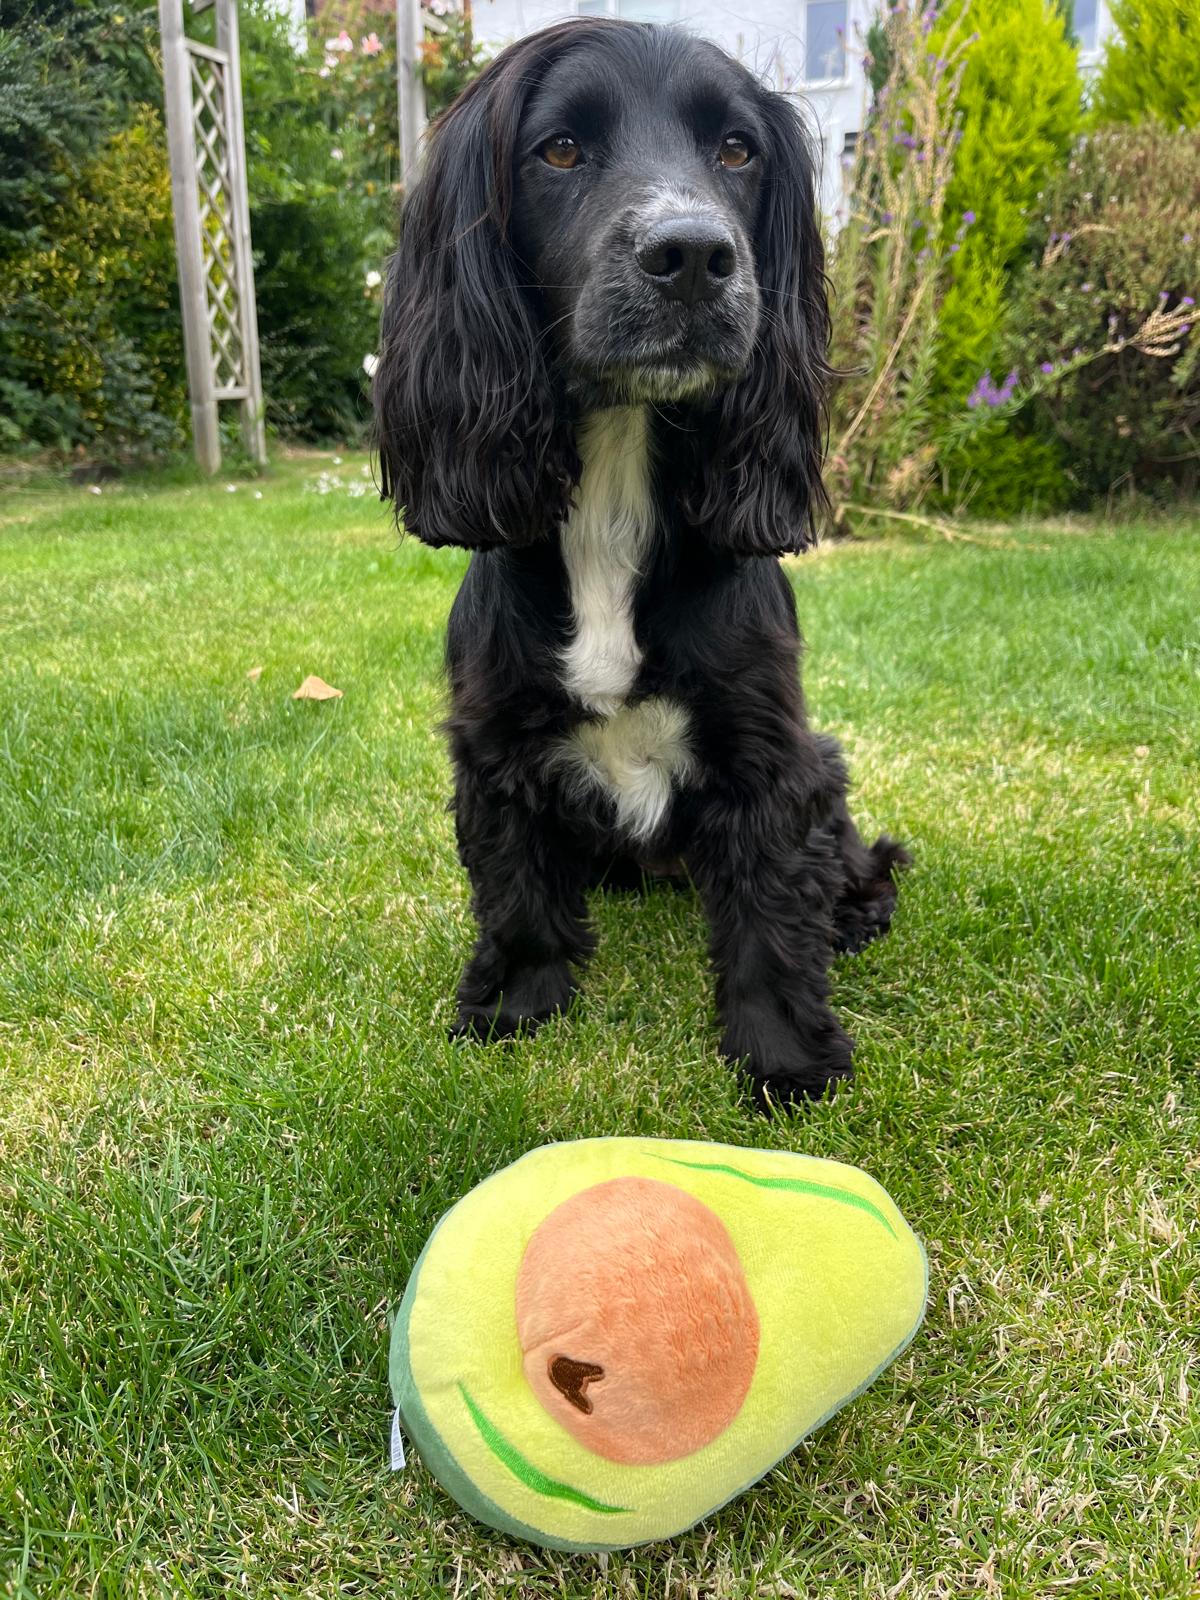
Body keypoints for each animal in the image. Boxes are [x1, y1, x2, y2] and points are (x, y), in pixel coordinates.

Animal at [374, 18, 902, 1107]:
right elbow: (515, 887)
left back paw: (859, 904)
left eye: (737, 150)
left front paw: (786, 1059)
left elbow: (773, 913)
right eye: (560, 149)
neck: (616, 493)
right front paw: (514, 1005)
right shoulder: (494, 741)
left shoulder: (766, 748)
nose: (695, 254)